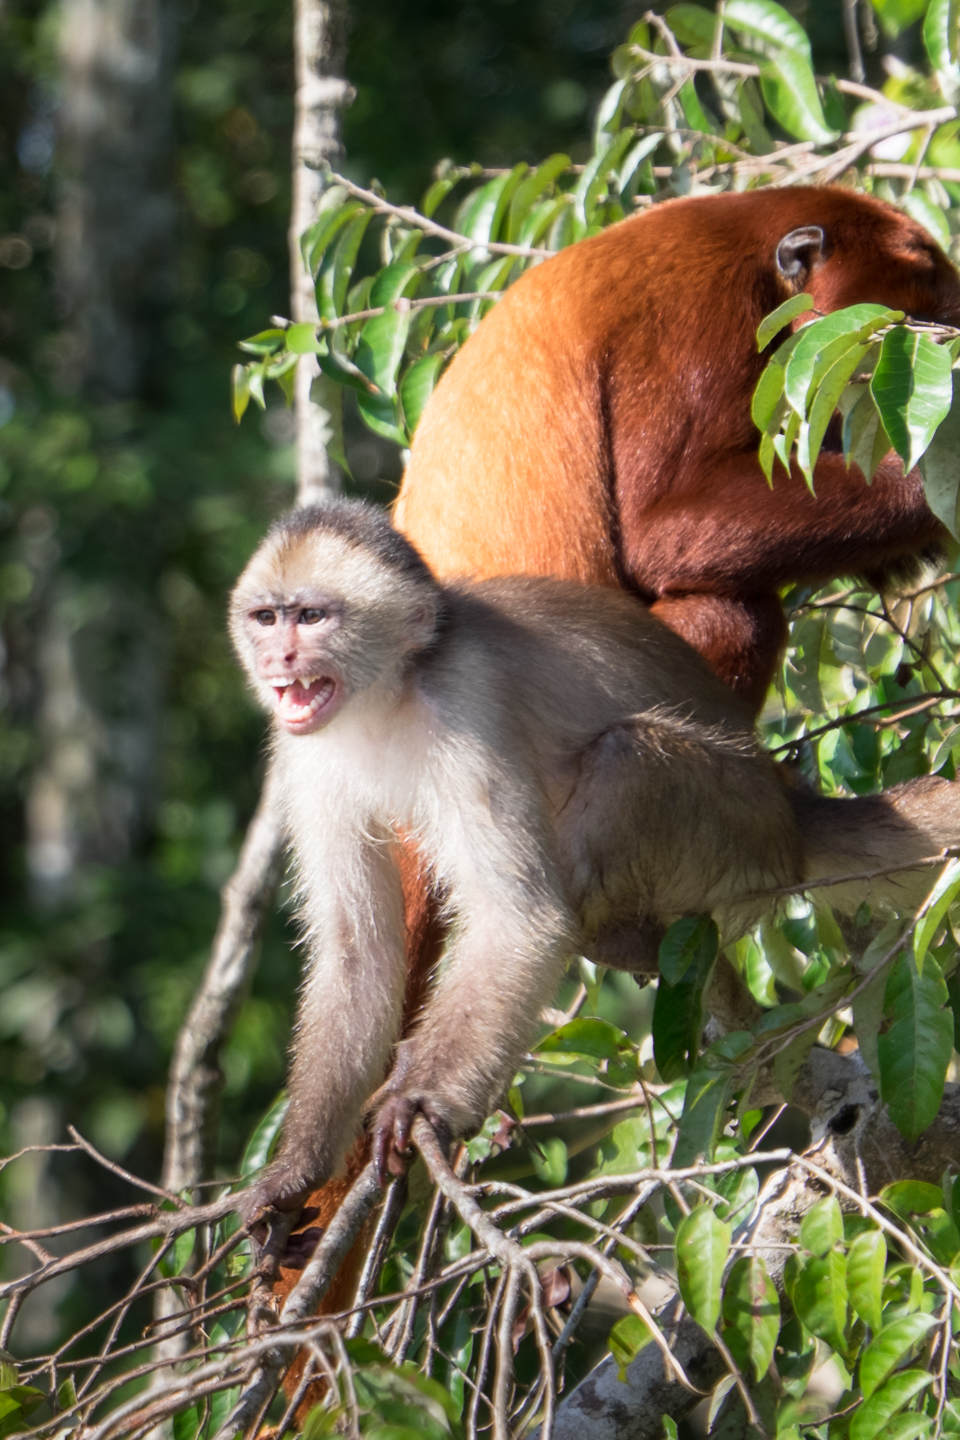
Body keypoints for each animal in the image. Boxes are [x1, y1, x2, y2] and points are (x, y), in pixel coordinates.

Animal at [230, 501, 960, 1221]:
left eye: (312, 616)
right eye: (266, 617)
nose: (280, 654)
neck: (390, 695)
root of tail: (791, 810)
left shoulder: (464, 702)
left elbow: (521, 920)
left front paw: (419, 1100)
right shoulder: (304, 754)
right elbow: (357, 952)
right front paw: (298, 1171)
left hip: (740, 830)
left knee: (623, 756)